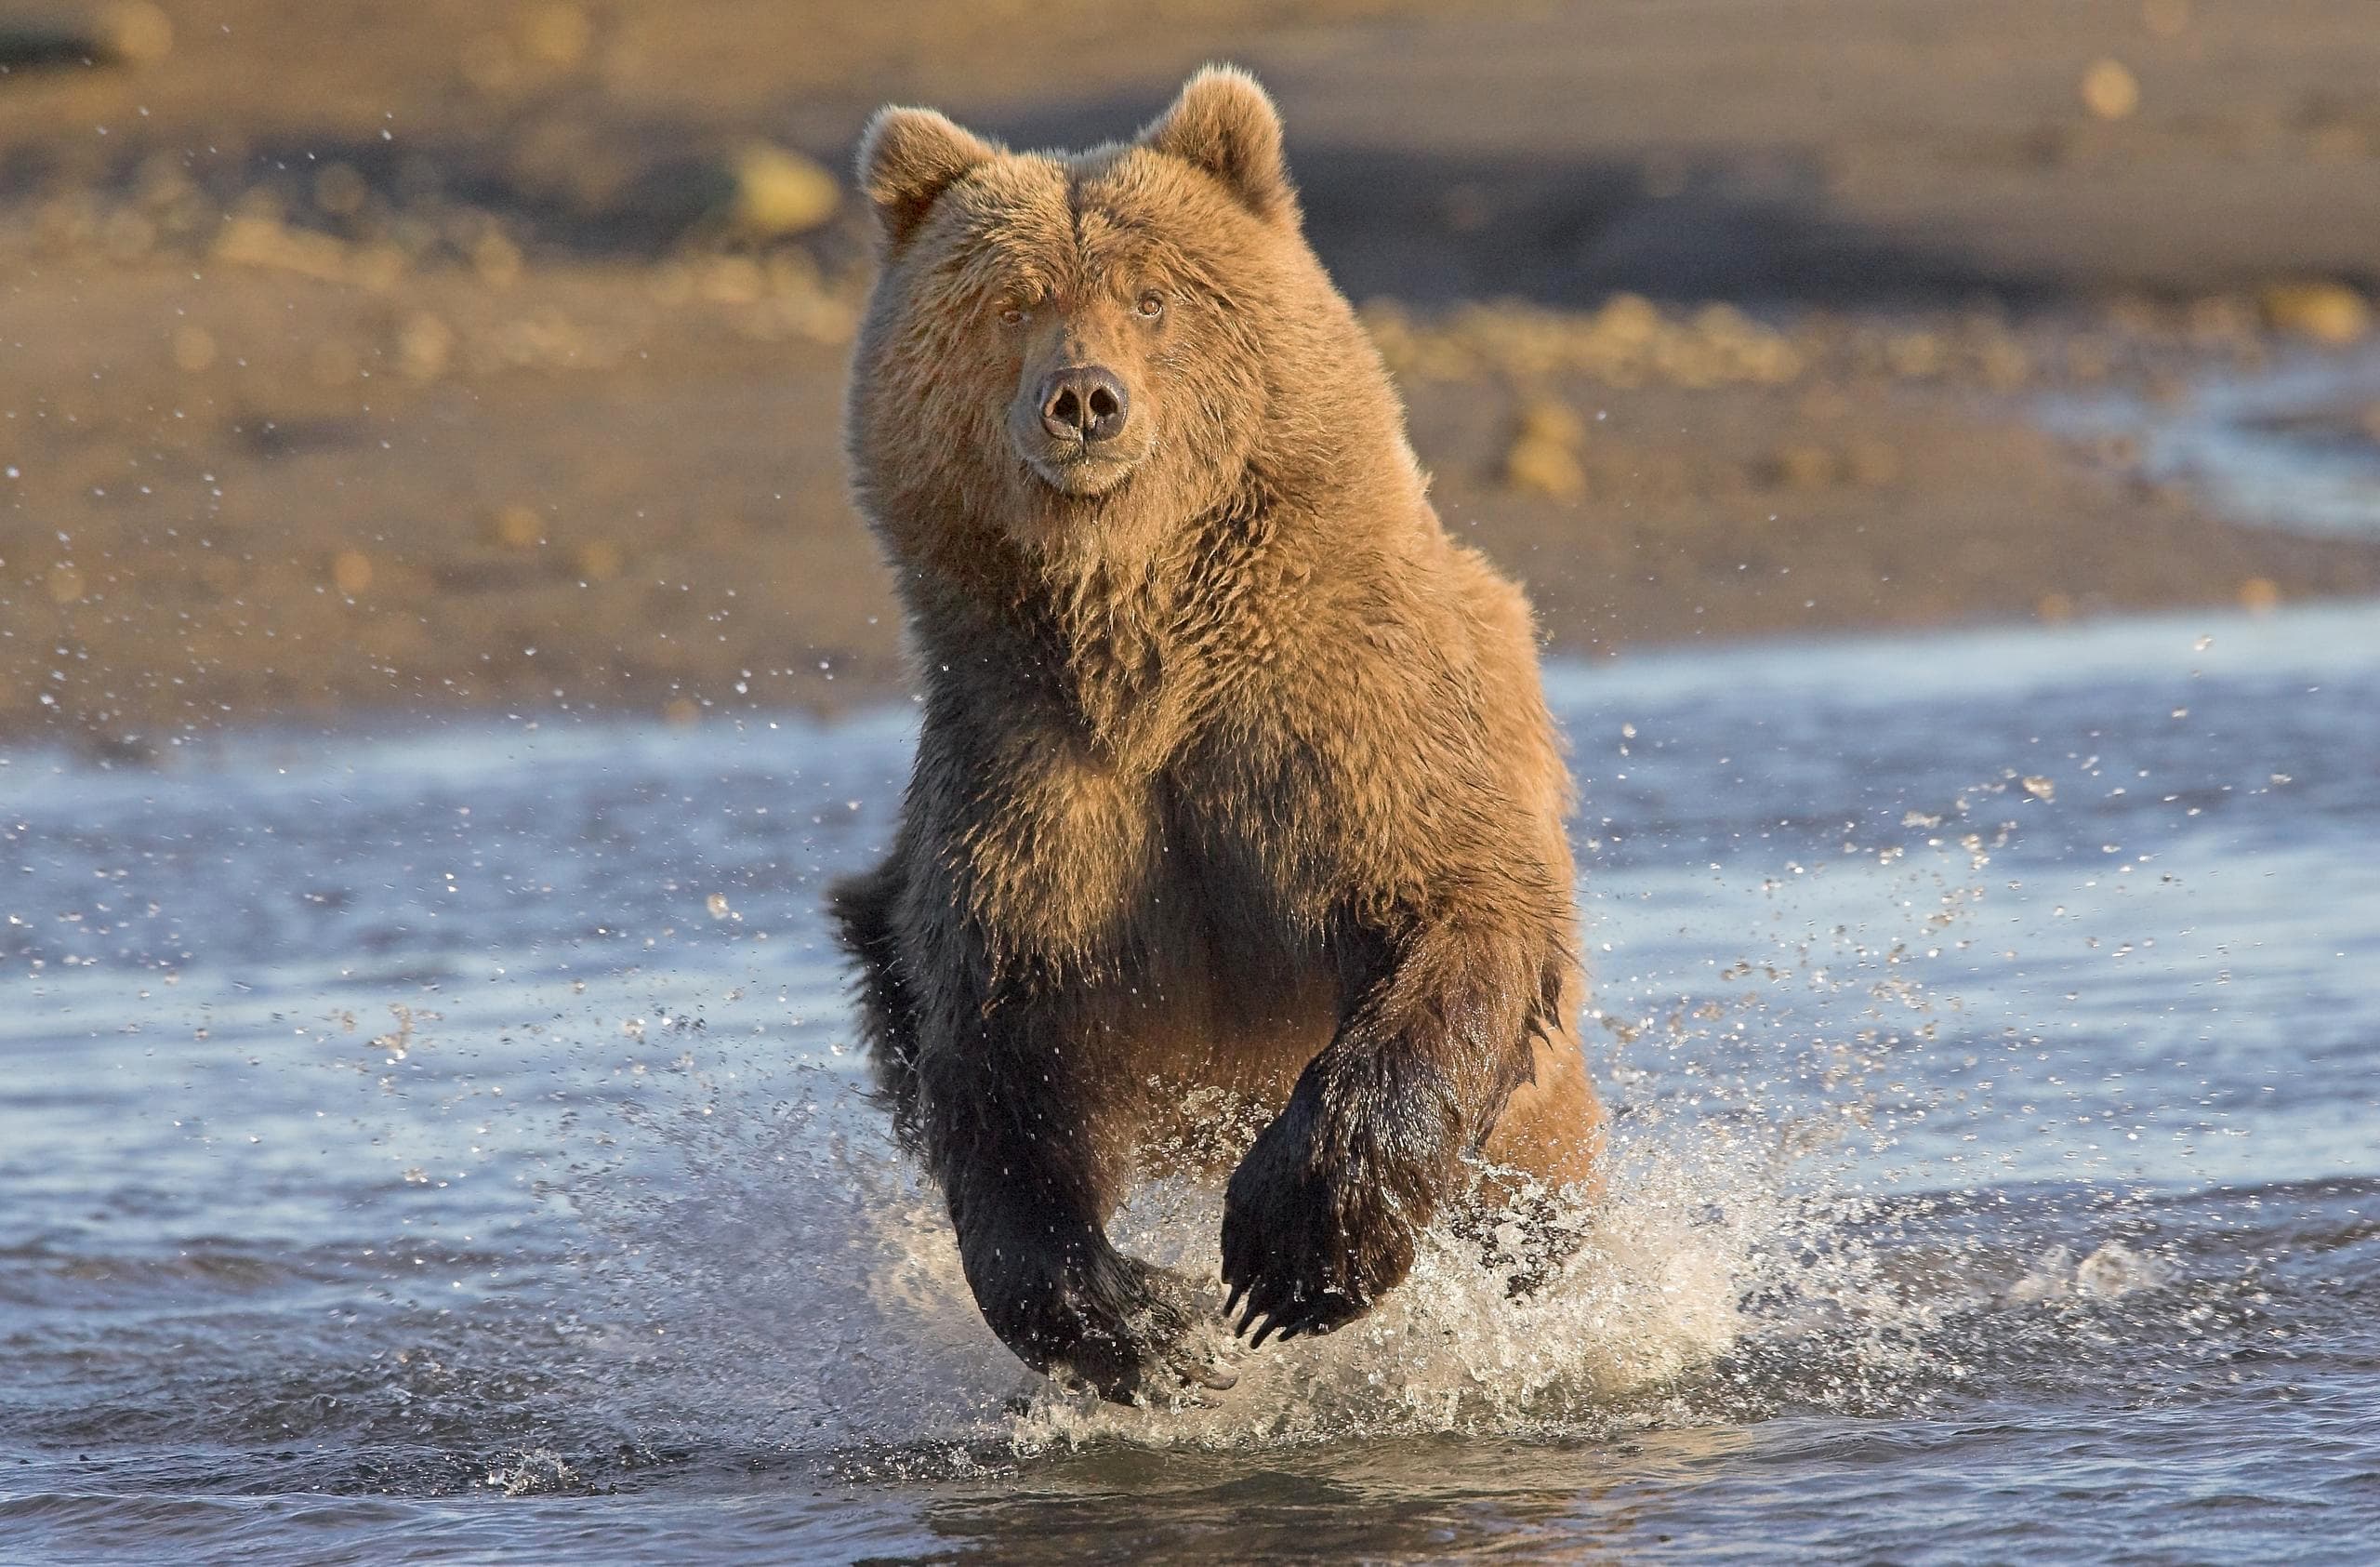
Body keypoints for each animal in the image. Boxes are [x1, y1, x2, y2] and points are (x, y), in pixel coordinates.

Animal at [829, 65, 1605, 1405]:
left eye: (1151, 294)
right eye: (1014, 302)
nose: (1085, 398)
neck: (1144, 653)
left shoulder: (1336, 726)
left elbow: (1456, 908)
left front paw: (1292, 1253)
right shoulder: (1031, 784)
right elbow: (1002, 1060)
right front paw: (1152, 1324)